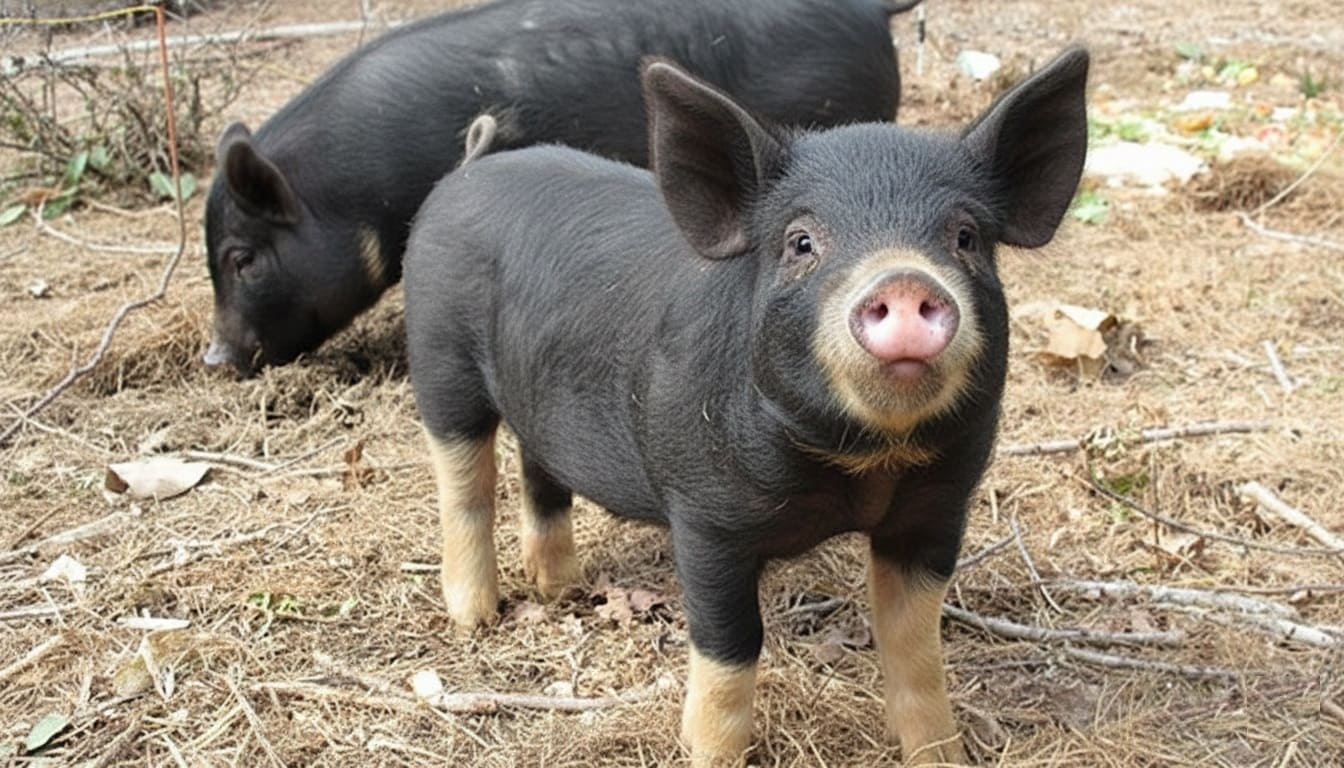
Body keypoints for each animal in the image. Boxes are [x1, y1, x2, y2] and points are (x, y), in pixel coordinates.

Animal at [404, 49, 1089, 765]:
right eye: (801, 241)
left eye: (966, 237)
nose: (903, 280)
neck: (862, 464)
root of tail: (466, 172)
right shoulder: (704, 517)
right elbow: (730, 649)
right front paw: (710, 753)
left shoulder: (937, 510)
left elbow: (915, 647)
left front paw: (942, 755)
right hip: (439, 362)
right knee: (465, 484)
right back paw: (476, 617)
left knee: (540, 470)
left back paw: (560, 588)